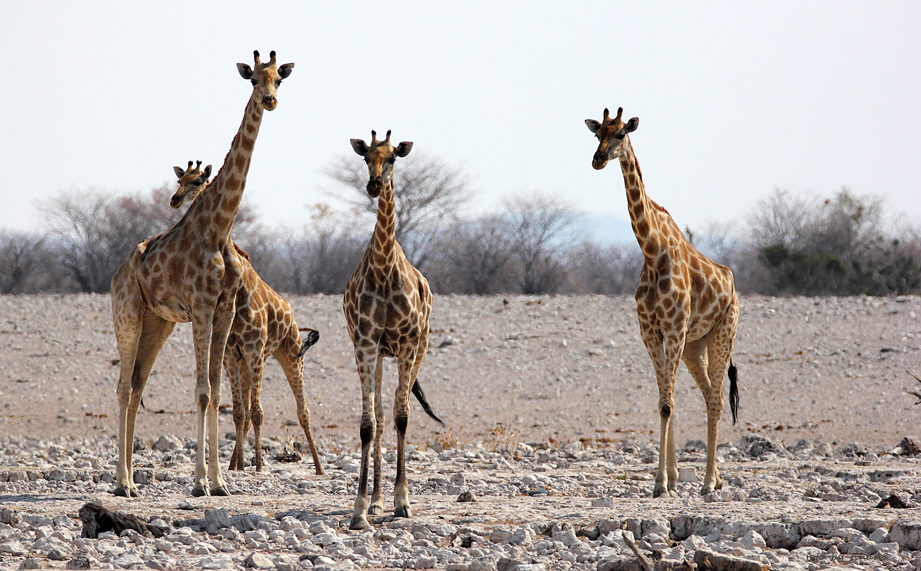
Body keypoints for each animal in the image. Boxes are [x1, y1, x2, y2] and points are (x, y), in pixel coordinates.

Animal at [110, 52, 294, 500]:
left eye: (279, 79)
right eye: (254, 79)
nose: (270, 101)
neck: (219, 227)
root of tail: (118, 272)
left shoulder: (223, 310)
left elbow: (216, 391)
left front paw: (220, 481)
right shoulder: (202, 307)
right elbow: (203, 391)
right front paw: (198, 482)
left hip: (157, 322)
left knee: (138, 385)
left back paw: (132, 481)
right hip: (127, 315)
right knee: (122, 388)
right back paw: (121, 482)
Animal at [171, 159, 326, 476]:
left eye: (197, 182)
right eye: (179, 181)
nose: (176, 200)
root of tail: (295, 320)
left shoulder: (255, 351)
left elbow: (257, 411)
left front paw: (257, 465)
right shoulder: (233, 354)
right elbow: (239, 412)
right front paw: (238, 466)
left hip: (290, 355)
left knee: (302, 411)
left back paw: (318, 468)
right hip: (250, 361)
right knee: (246, 410)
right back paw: (236, 462)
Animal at [344, 130, 446, 532]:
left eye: (392, 158)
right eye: (365, 157)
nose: (374, 185)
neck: (386, 270)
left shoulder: (408, 343)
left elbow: (403, 417)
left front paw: (403, 502)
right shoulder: (366, 342)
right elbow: (368, 424)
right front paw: (359, 509)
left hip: (416, 348)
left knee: (395, 413)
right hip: (376, 355)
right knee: (380, 415)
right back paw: (375, 500)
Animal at [584, 109, 744, 498]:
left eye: (621, 133)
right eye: (597, 134)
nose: (597, 160)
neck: (652, 250)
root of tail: (733, 286)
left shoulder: (672, 330)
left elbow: (668, 404)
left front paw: (661, 482)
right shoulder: (651, 333)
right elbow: (664, 402)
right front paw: (667, 479)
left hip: (722, 335)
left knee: (717, 399)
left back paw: (708, 483)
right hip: (695, 345)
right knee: (708, 395)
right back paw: (714, 478)